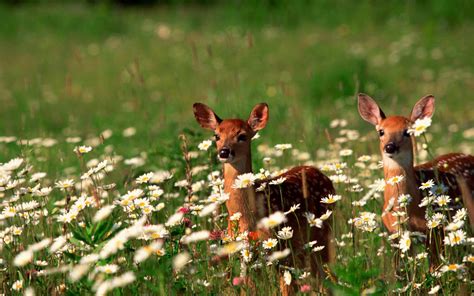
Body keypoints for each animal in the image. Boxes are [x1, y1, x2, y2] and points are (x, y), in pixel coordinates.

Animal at [192, 102, 334, 294]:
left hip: (320, 235)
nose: (224, 152)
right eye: (217, 136)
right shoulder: (245, 253)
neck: (246, 216)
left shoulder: (279, 247)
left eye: (242, 136)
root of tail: (321, 173)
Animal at [360, 94, 474, 268]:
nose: (390, 147)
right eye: (381, 131)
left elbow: (434, 268)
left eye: (407, 132)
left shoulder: (435, 231)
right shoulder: (395, 234)